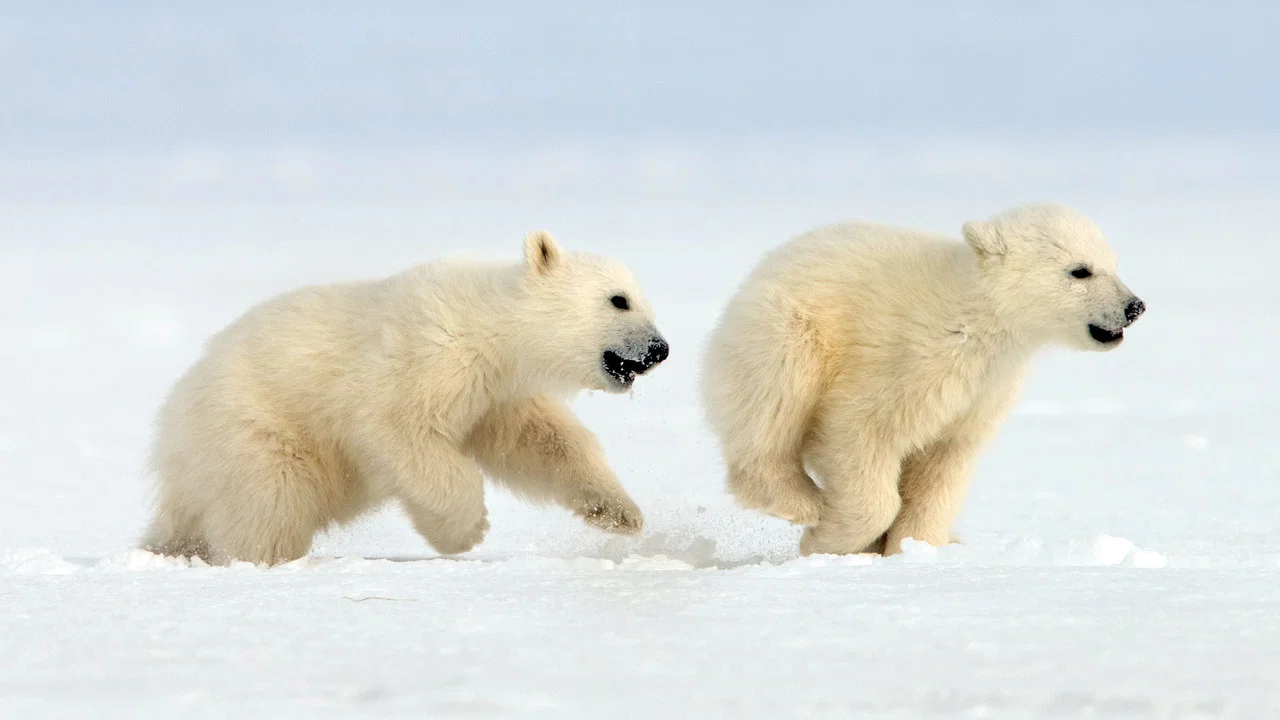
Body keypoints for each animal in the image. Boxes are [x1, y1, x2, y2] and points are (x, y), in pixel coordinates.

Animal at [143, 231, 669, 565]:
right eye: (619, 299)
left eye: (646, 301)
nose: (661, 349)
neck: (490, 323)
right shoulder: (431, 355)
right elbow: (396, 429)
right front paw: (467, 530)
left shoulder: (496, 394)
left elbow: (541, 442)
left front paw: (620, 512)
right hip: (254, 427)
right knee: (271, 501)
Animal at [700, 204, 1144, 556]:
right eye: (1080, 270)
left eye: (1113, 263)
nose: (1134, 306)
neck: (975, 316)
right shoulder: (909, 360)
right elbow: (860, 430)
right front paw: (826, 539)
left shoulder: (983, 391)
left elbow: (943, 465)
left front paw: (914, 548)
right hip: (783, 331)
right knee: (773, 405)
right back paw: (801, 501)